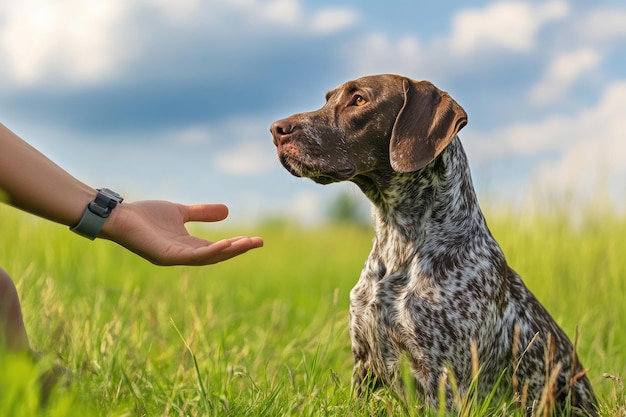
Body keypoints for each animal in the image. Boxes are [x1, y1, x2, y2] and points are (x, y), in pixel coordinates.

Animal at [268, 74, 596, 412]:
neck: (398, 244)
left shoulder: (441, 378)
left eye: (359, 100)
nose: (276, 129)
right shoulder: (364, 366)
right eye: (327, 100)